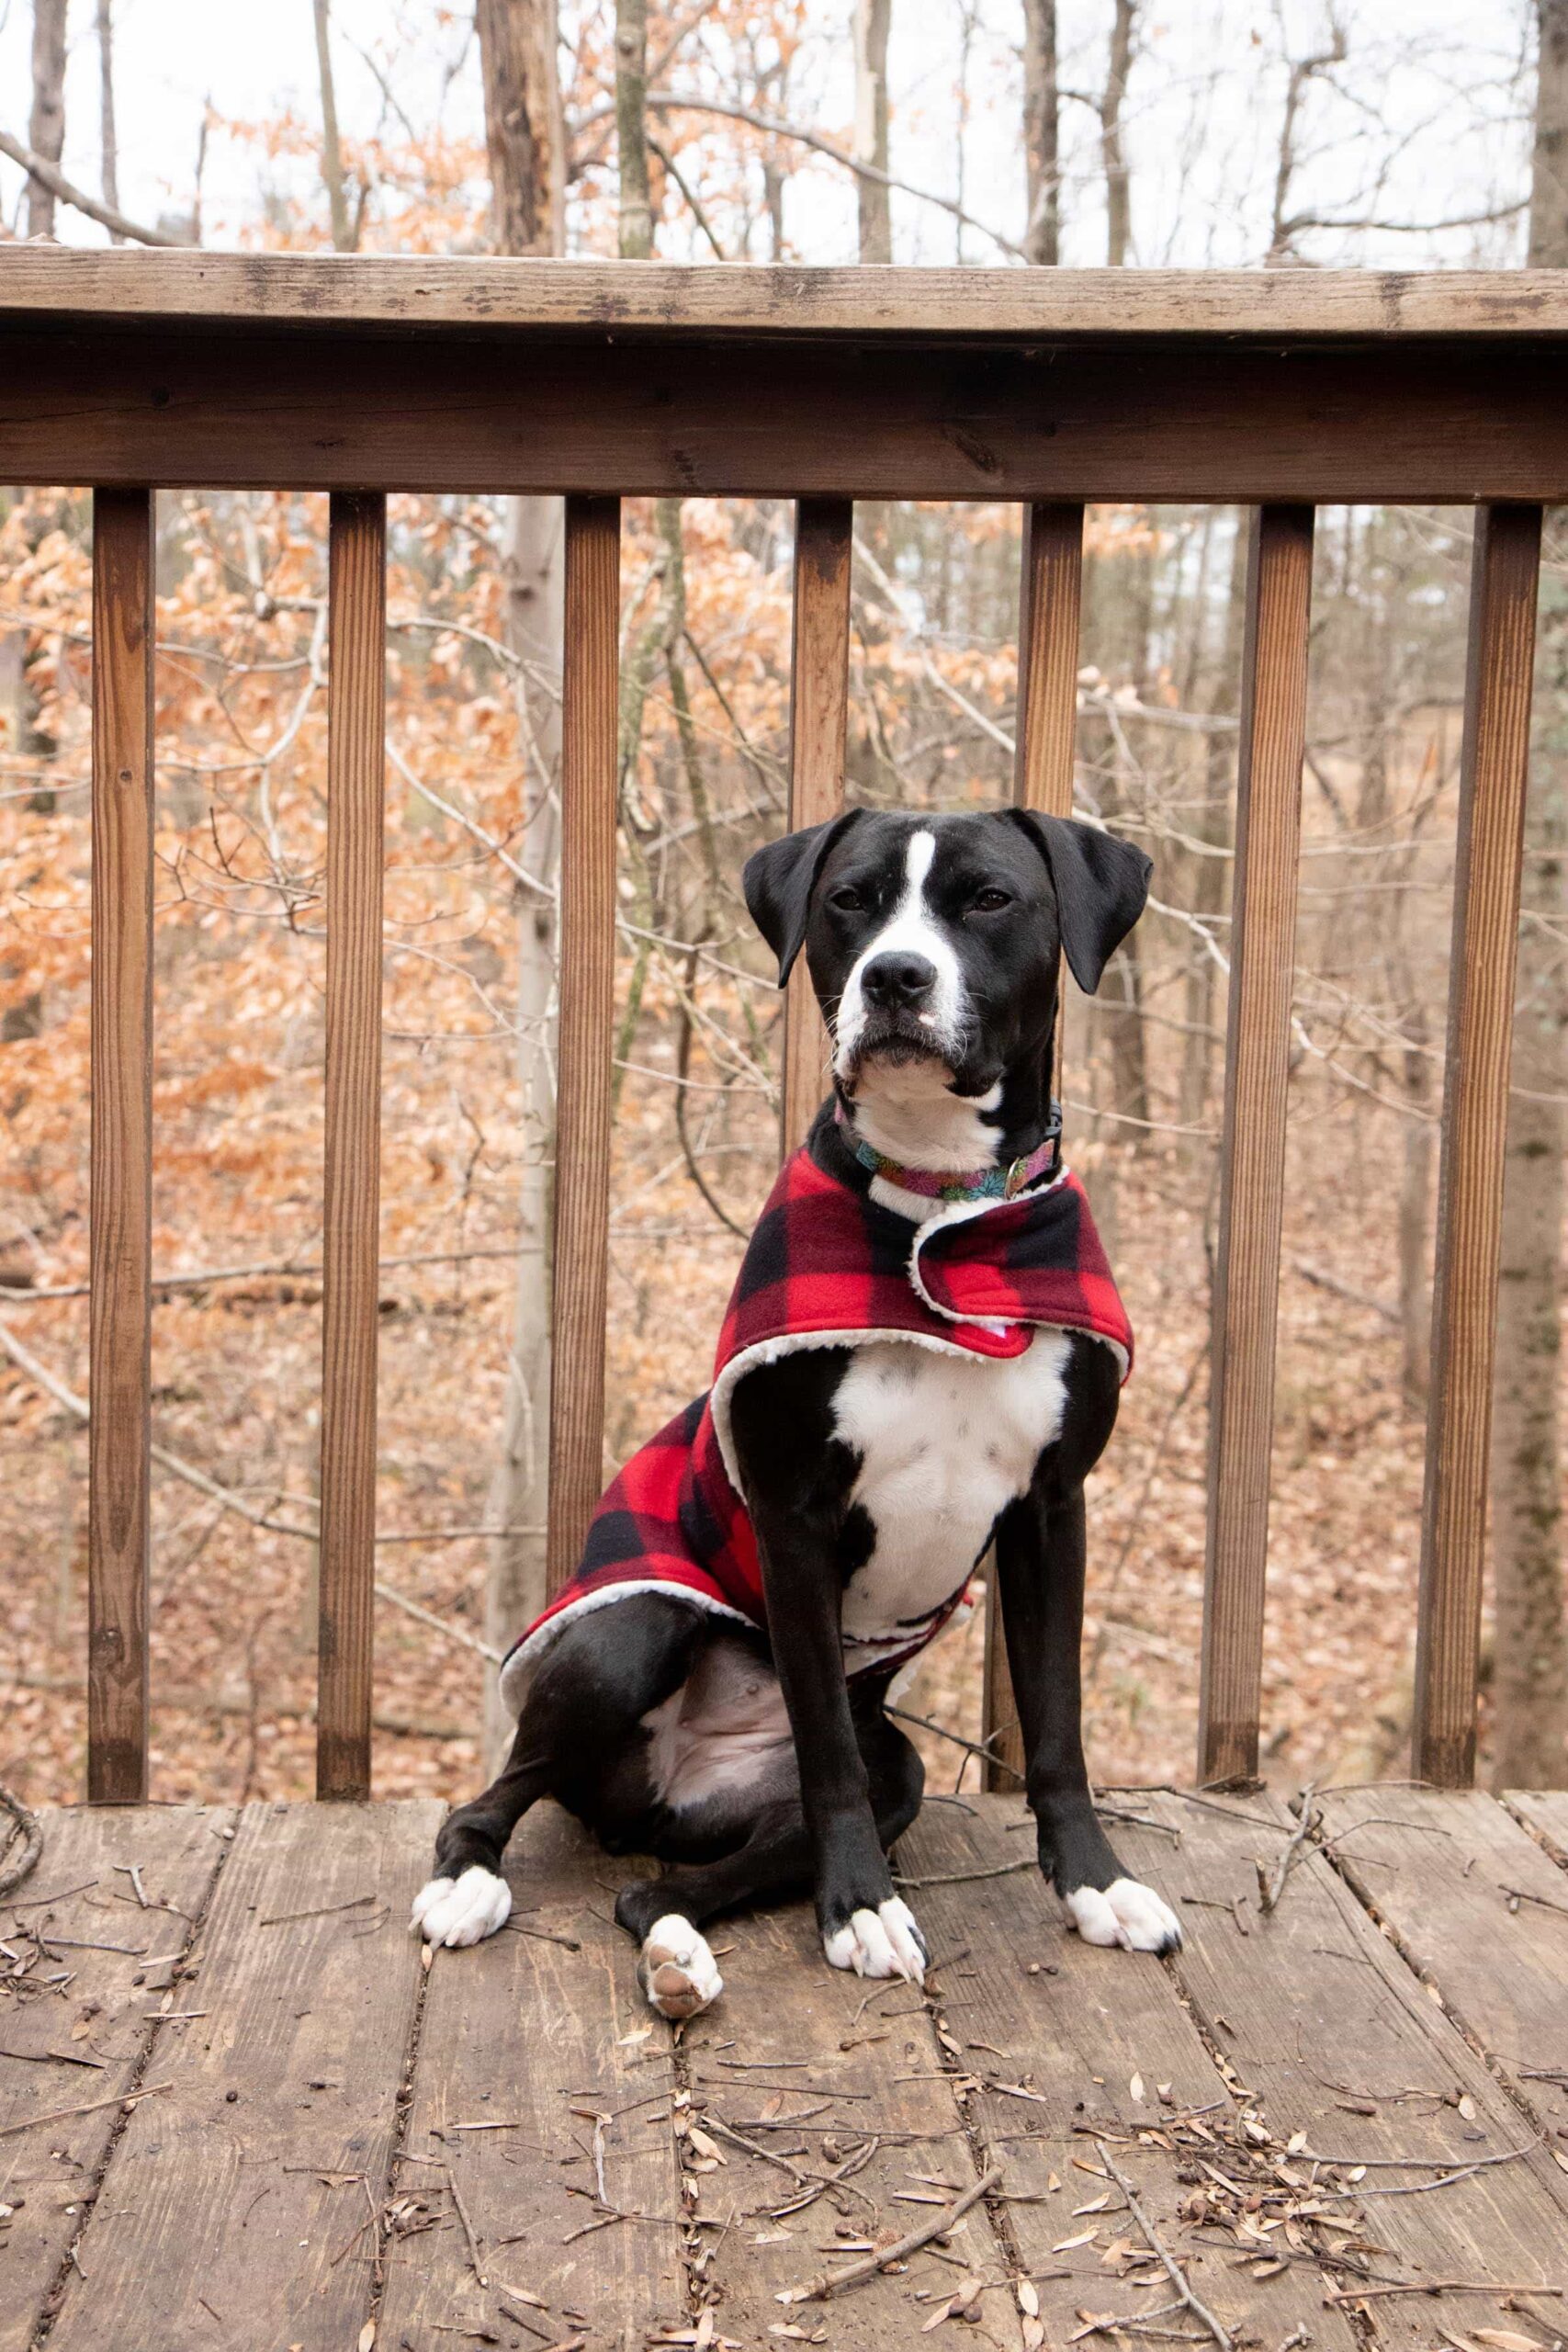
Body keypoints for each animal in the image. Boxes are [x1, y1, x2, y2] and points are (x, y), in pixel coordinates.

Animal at [411, 808, 1184, 2022]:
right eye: (851, 900)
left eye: (988, 898)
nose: (895, 976)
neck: (937, 1216)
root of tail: (671, 1787)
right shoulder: (794, 1518)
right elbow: (825, 1746)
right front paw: (860, 1908)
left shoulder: (1053, 1509)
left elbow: (1056, 1724)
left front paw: (1095, 1884)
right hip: (628, 1634)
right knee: (497, 1794)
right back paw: (470, 1884)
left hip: (893, 1768)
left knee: (653, 1889)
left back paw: (677, 1946)